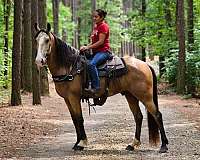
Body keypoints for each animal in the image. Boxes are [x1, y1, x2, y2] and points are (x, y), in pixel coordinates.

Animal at [34, 23, 169, 153]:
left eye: (47, 40)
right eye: (36, 40)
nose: (39, 60)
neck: (69, 66)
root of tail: (145, 64)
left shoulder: (74, 97)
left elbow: (79, 118)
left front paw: (82, 143)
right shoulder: (67, 99)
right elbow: (74, 119)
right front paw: (77, 142)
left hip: (145, 96)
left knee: (157, 115)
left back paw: (164, 146)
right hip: (130, 95)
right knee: (138, 117)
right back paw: (133, 145)